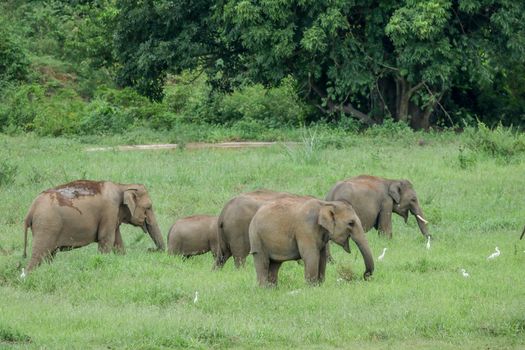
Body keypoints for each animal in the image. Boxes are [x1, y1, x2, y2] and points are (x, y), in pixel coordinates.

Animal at [22, 180, 164, 274]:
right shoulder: (109, 211)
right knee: (39, 255)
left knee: (49, 255)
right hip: (46, 225)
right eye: (148, 207)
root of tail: (30, 210)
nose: (150, 249)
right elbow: (106, 240)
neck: (122, 186)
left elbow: (118, 243)